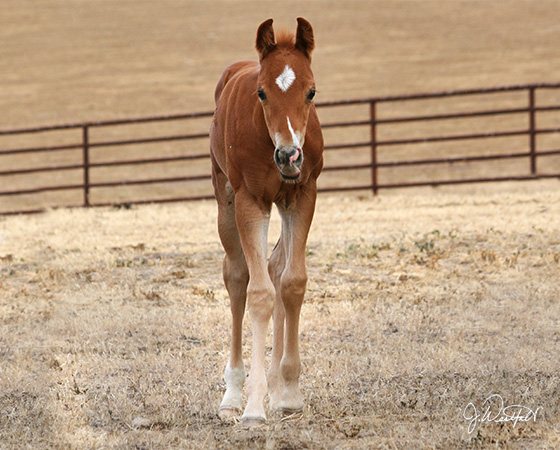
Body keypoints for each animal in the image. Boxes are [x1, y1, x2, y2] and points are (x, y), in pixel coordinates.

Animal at [210, 17, 324, 426]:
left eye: (311, 91)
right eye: (261, 93)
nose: (289, 156)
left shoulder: (302, 196)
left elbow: (291, 283)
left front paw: (287, 392)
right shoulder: (250, 201)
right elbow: (259, 294)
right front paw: (255, 406)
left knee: (275, 267)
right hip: (225, 198)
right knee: (237, 277)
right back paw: (232, 395)